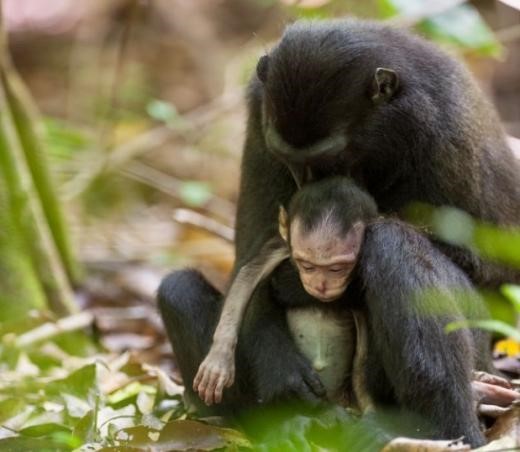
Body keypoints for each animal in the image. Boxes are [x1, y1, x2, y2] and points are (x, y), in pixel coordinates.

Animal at [158, 17, 520, 438]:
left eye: (330, 160)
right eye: (289, 159)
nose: (306, 188)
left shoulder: (443, 130)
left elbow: (491, 274)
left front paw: (297, 283)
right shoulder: (258, 114)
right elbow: (251, 256)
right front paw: (279, 362)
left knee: (392, 245)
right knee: (177, 289)